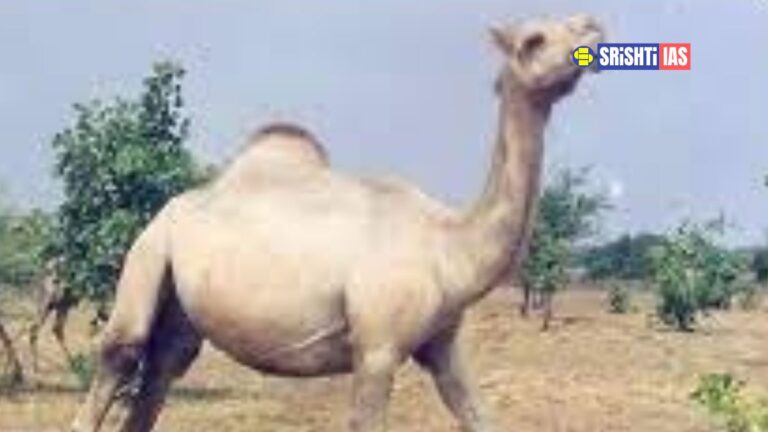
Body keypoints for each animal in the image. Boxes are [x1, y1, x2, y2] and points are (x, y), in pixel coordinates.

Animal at [71, 15, 604, 432]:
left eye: (578, 23)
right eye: (533, 39)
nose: (593, 29)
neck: (448, 246)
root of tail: (168, 209)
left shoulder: (444, 346)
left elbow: (478, 414)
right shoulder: (376, 348)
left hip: (182, 308)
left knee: (161, 369)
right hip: (148, 252)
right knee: (120, 353)